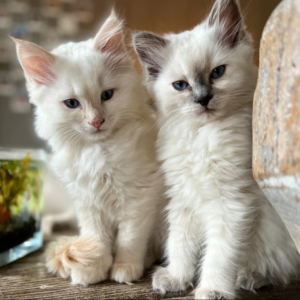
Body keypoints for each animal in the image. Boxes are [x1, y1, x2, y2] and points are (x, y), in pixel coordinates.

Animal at [13, 11, 164, 286]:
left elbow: (129, 239)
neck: (98, 152)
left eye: (107, 95)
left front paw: (125, 268)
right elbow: (98, 238)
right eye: (72, 103)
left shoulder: (139, 199)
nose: (96, 121)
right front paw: (94, 267)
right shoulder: (88, 202)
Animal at [134, 0, 300, 298]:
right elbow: (180, 244)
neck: (202, 136)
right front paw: (177, 278)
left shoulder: (231, 204)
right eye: (181, 85)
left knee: (279, 268)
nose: (203, 99)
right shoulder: (183, 199)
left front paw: (212, 290)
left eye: (217, 73)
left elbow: (219, 256)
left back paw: (250, 278)